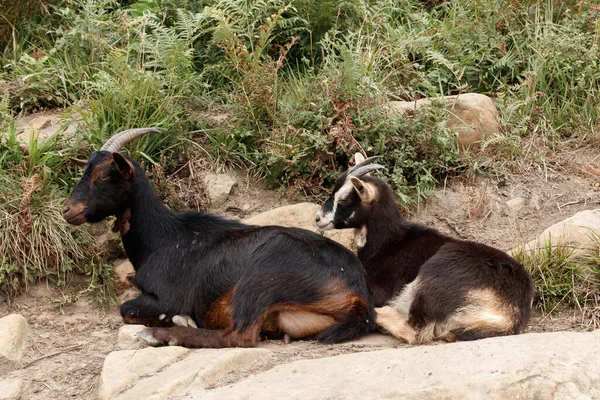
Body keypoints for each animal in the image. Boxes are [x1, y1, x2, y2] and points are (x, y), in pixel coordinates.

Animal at [61, 130, 372, 346]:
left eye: (104, 175)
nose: (67, 210)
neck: (163, 239)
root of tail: (359, 293)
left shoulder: (169, 297)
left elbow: (126, 309)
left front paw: (177, 320)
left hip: (264, 272)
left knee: (238, 337)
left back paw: (161, 334)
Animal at [314, 153, 536, 344]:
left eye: (344, 199)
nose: (318, 218)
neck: (389, 243)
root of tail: (510, 312)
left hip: (437, 271)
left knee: (415, 331)